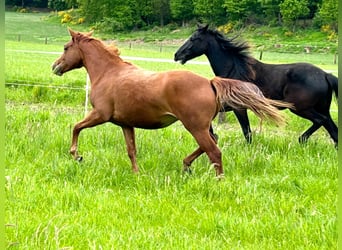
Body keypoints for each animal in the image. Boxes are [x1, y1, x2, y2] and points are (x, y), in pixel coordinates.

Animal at [51, 29, 292, 177]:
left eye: (65, 47)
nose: (55, 67)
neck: (109, 73)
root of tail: (210, 82)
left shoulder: (100, 114)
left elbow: (76, 127)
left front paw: (76, 155)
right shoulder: (126, 124)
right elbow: (131, 150)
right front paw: (137, 174)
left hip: (194, 126)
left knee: (214, 151)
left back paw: (218, 180)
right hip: (203, 126)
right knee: (212, 142)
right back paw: (186, 165)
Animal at [175, 24, 338, 146]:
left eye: (194, 38)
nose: (177, 55)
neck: (234, 69)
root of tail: (325, 74)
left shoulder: (239, 108)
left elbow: (247, 132)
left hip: (300, 108)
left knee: (321, 121)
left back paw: (301, 139)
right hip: (321, 108)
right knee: (333, 129)